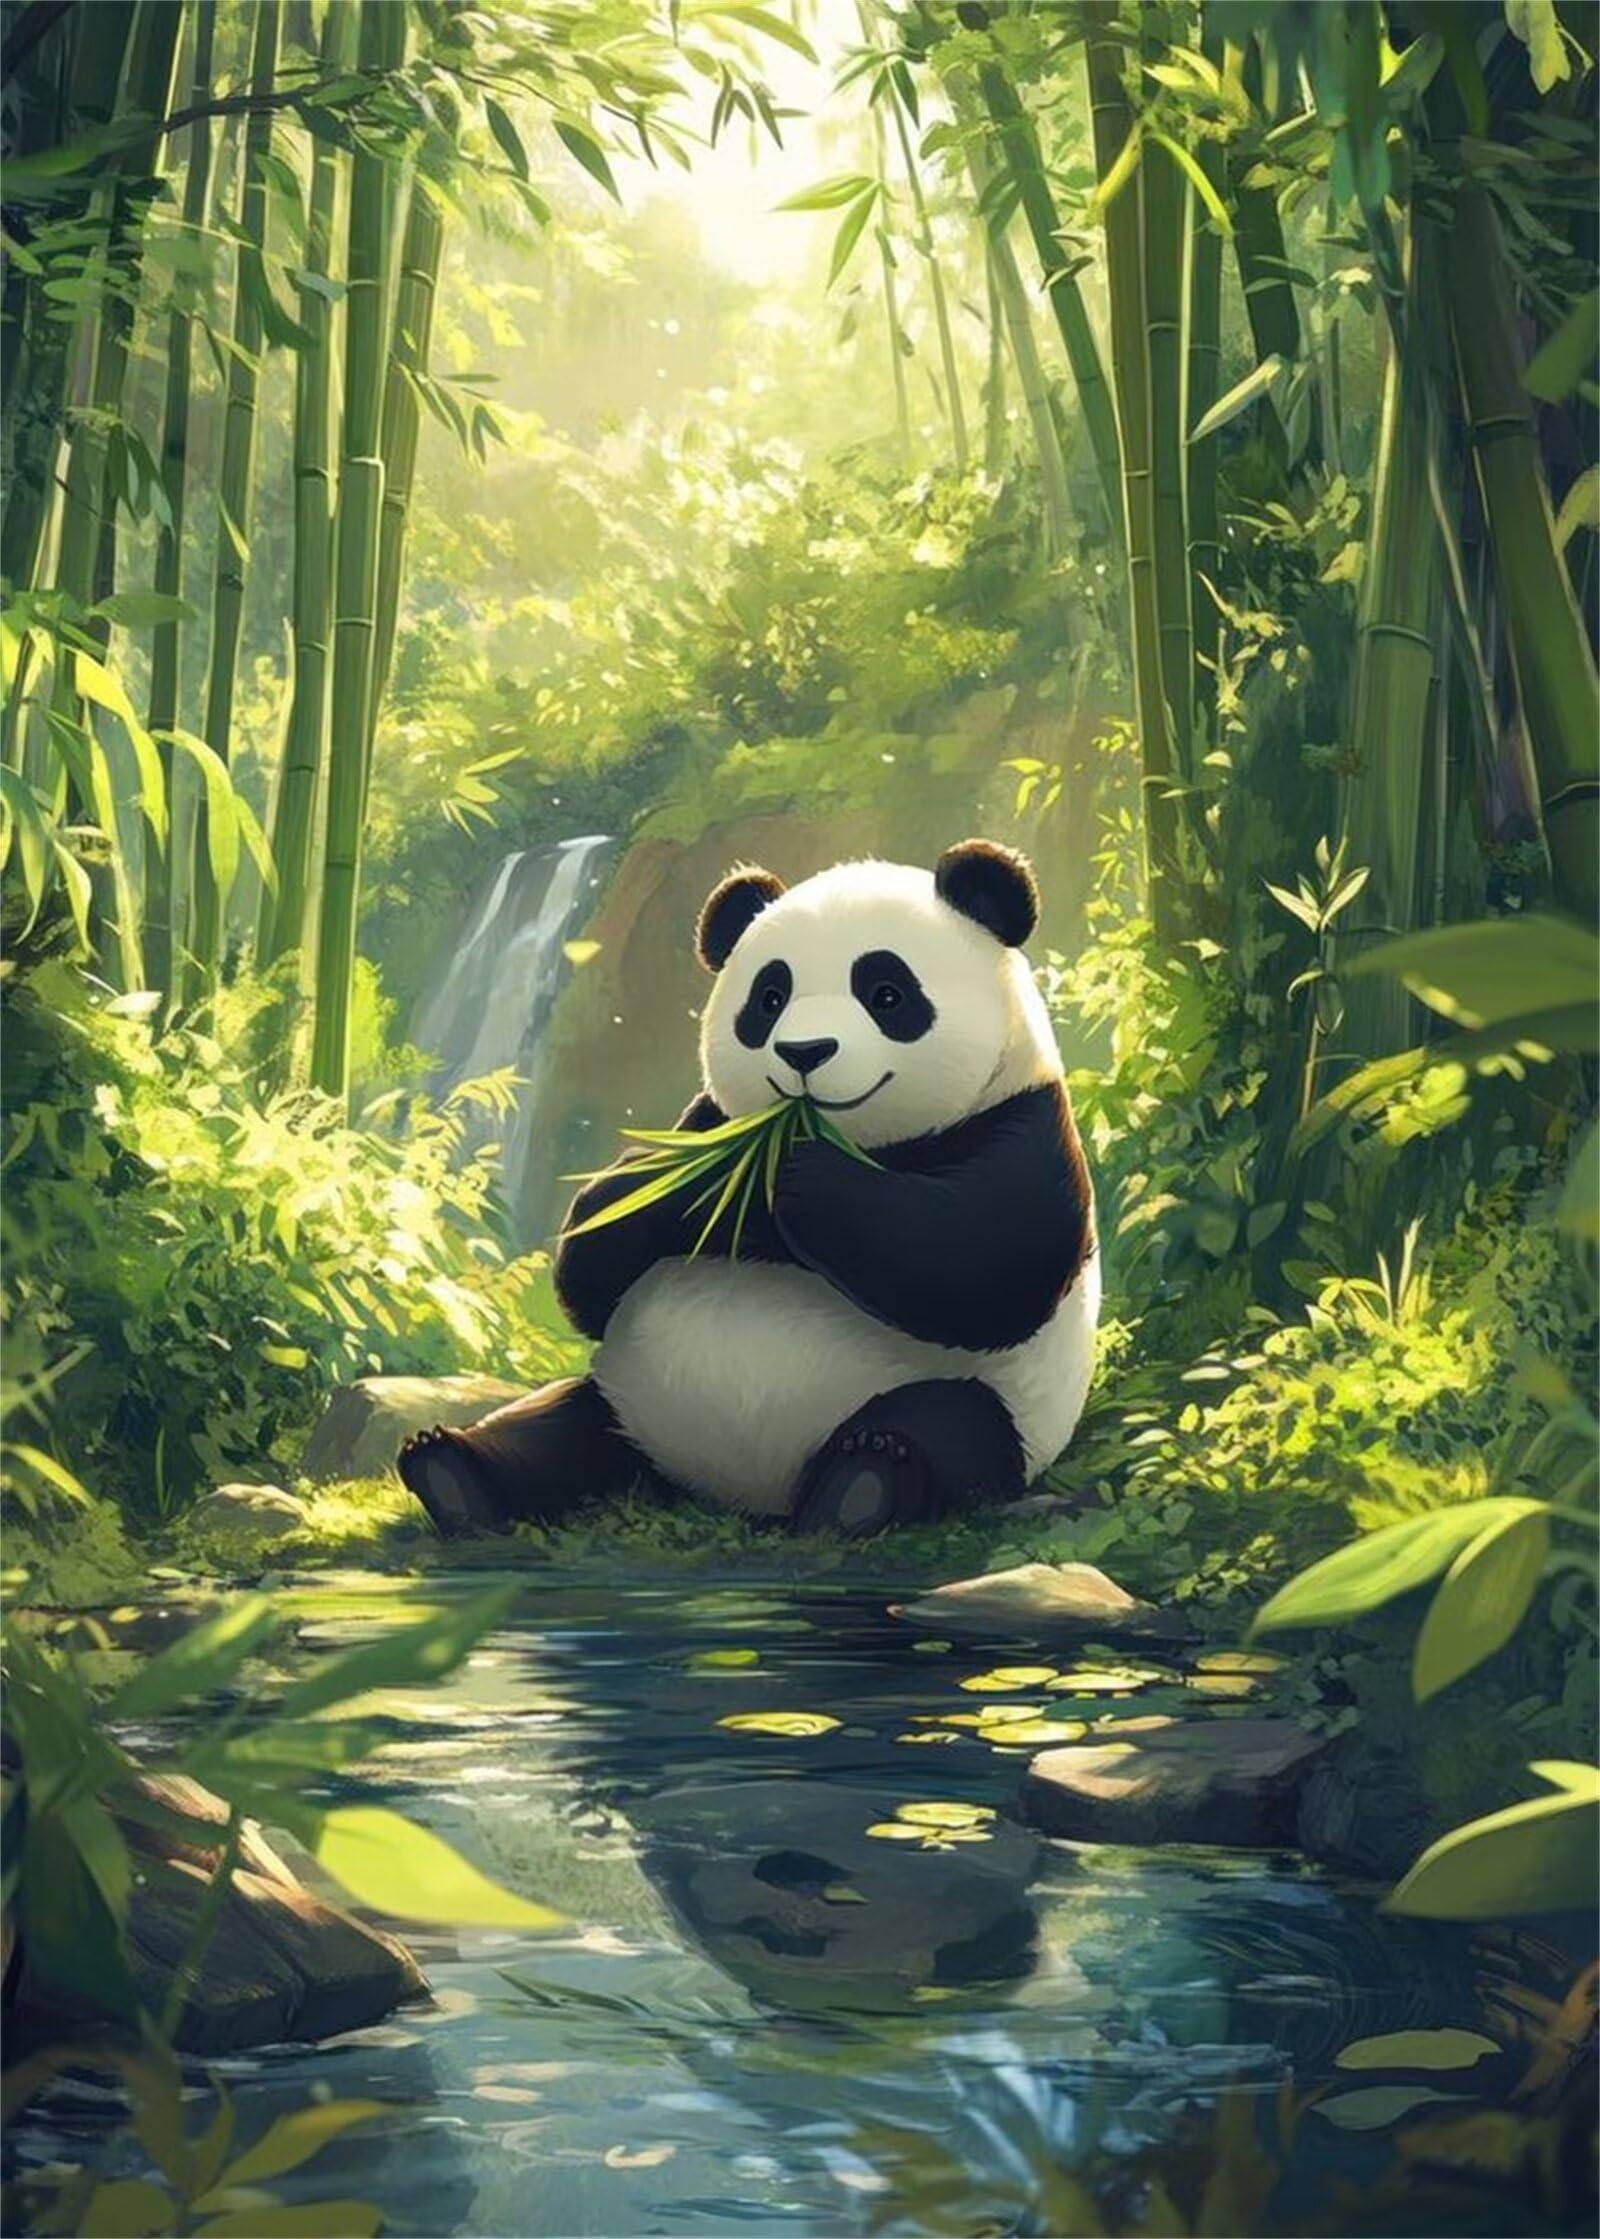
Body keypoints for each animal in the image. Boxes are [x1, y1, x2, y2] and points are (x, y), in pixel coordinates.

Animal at [398, 839, 1098, 1537]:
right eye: (769, 998)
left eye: (887, 994)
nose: (804, 1052)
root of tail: (738, 1489)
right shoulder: (704, 1118)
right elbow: (593, 1261)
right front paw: (705, 1181)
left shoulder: (1023, 1124)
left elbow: (983, 1269)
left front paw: (799, 1177)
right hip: (623, 1397)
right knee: (559, 1428)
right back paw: (449, 1470)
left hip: (983, 1405)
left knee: (944, 1424)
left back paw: (864, 1484)